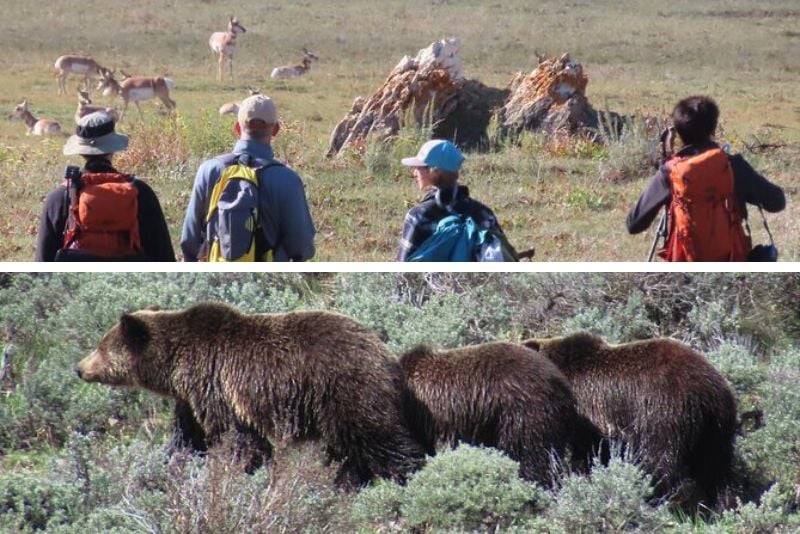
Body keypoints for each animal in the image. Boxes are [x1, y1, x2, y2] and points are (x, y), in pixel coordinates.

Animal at [76, 304, 424, 488]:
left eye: (101, 347)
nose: (79, 368)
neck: (176, 365)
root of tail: (387, 355)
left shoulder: (217, 385)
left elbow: (237, 438)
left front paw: (239, 470)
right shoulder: (192, 399)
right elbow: (188, 436)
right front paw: (171, 464)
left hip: (344, 389)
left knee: (378, 438)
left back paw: (406, 474)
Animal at [524, 332, 736, 508]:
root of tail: (707, 391)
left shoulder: (589, 412)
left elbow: (588, 451)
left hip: (665, 410)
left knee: (661, 457)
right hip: (717, 425)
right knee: (717, 469)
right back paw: (721, 505)